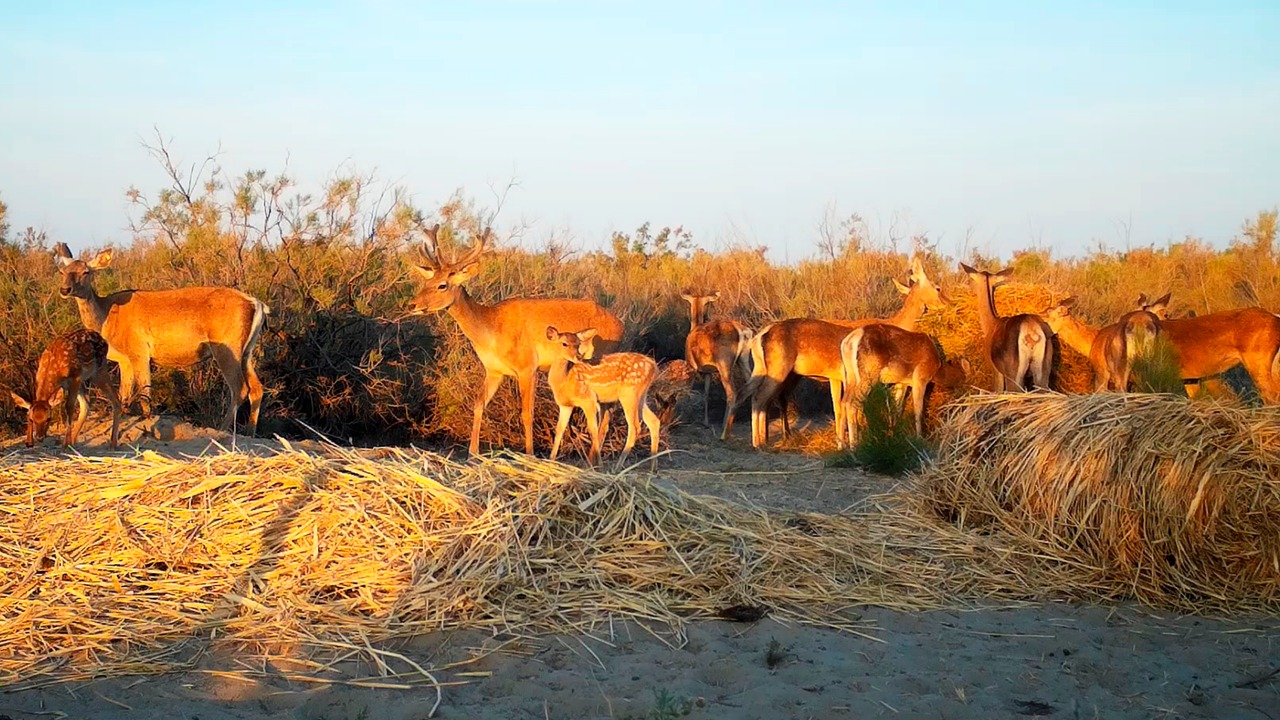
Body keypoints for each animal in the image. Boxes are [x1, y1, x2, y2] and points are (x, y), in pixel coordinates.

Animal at [53, 243, 270, 430]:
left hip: (227, 346)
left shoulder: (139, 350)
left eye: (86, 272)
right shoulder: (124, 360)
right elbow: (124, 395)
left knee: (240, 388)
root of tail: (257, 303)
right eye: (62, 272)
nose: (65, 289)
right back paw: (250, 431)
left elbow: (144, 392)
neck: (106, 318)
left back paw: (222, 429)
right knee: (257, 388)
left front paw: (147, 420)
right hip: (246, 351)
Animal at [404, 221, 624, 450]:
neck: (491, 329)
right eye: (427, 281)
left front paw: (529, 452)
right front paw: (473, 451)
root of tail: (621, 325)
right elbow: (478, 404)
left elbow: (527, 414)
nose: (412, 305)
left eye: (442, 285)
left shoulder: (528, 367)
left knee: (606, 412)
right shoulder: (494, 370)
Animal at [542, 325, 660, 471]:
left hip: (629, 393)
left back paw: (617, 467)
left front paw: (597, 465)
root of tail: (654, 366)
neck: (564, 380)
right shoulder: (565, 405)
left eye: (578, 344)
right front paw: (550, 460)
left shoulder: (588, 399)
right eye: (564, 343)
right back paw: (653, 467)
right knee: (654, 421)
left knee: (635, 427)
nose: (578, 356)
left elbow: (593, 430)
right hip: (641, 395)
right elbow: (559, 429)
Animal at [680, 289, 747, 438]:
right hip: (745, 360)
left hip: (724, 363)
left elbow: (688, 390)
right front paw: (705, 422)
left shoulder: (692, 365)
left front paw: (682, 416)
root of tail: (741, 331)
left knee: (732, 393)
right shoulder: (708, 372)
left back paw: (724, 433)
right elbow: (706, 393)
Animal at [962, 260, 1049, 389]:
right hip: (1043, 373)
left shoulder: (996, 371)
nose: (968, 288)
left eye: (970, 280)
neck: (990, 324)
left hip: (1014, 374)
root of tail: (1031, 330)